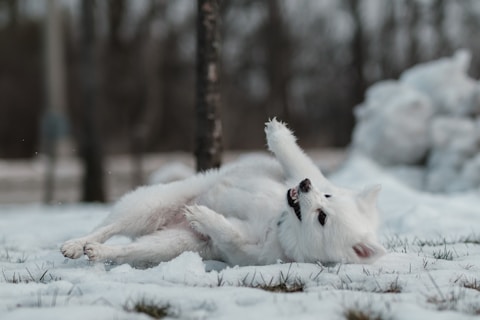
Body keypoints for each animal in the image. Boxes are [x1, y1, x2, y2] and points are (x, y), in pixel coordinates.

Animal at [61, 119, 386, 266]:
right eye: (327, 198)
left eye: (322, 217)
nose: (305, 186)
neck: (278, 221)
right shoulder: (300, 173)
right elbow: (296, 157)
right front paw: (277, 132)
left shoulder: (246, 251)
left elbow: (229, 233)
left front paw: (202, 215)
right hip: (150, 205)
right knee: (105, 228)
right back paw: (76, 244)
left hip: (173, 244)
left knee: (127, 248)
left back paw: (97, 252)